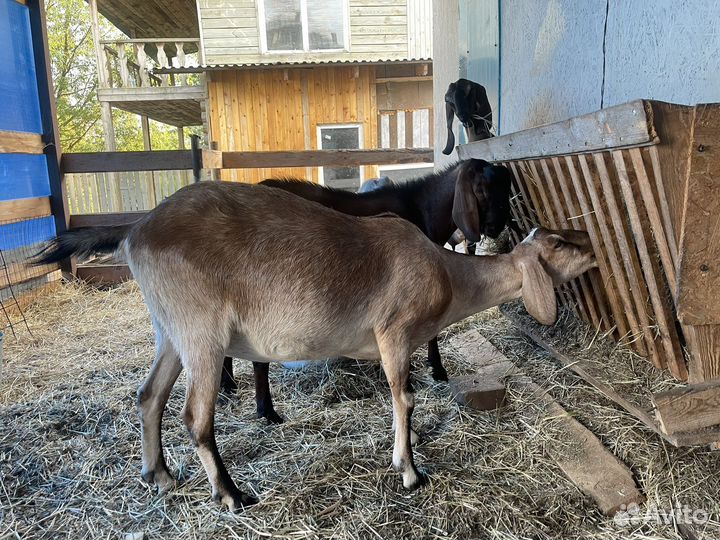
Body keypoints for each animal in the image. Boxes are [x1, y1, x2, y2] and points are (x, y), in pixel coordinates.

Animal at [220, 159, 513, 424]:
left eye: (504, 190)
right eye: (481, 190)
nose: (497, 227)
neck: (422, 209)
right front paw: (436, 370)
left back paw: (227, 387)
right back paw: (267, 411)